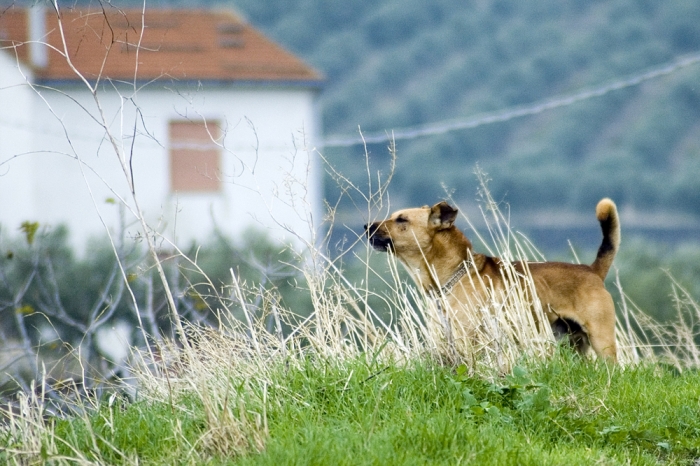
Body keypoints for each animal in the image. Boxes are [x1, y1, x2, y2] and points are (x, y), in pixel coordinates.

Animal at [364, 198, 620, 362]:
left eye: (401, 220)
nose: (366, 226)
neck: (458, 273)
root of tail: (592, 270)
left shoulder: (468, 341)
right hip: (573, 343)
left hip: (601, 339)